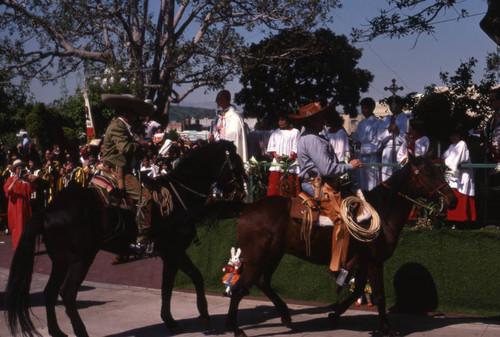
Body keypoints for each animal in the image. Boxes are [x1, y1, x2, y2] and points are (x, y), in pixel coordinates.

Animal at [3, 139, 246, 336]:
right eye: (235, 163)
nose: (242, 193)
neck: (179, 196)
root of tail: (47, 210)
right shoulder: (174, 251)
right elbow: (193, 277)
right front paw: (203, 316)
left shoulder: (169, 254)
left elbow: (169, 286)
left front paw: (171, 321)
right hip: (81, 259)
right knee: (68, 293)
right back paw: (80, 331)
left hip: (60, 261)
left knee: (50, 292)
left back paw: (57, 332)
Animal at [227, 154, 458, 336]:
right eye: (427, 173)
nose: (452, 200)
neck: (382, 211)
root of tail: (247, 208)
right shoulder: (375, 262)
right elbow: (379, 295)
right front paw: (384, 328)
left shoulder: (363, 262)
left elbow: (358, 291)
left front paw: (333, 315)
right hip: (256, 258)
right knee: (240, 288)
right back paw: (235, 328)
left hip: (273, 255)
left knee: (262, 282)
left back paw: (285, 317)